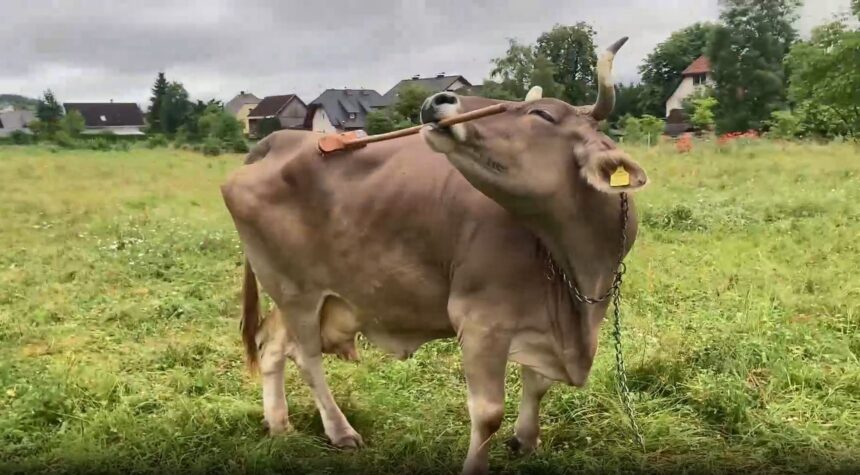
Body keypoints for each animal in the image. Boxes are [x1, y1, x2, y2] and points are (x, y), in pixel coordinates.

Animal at [220, 37, 647, 475]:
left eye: (541, 113)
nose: (440, 99)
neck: (578, 273)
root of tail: (280, 140)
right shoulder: (480, 321)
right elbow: (488, 413)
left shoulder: (543, 321)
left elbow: (537, 384)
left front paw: (525, 440)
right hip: (296, 292)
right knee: (305, 358)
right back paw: (340, 432)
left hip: (300, 292)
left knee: (272, 345)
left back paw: (280, 425)